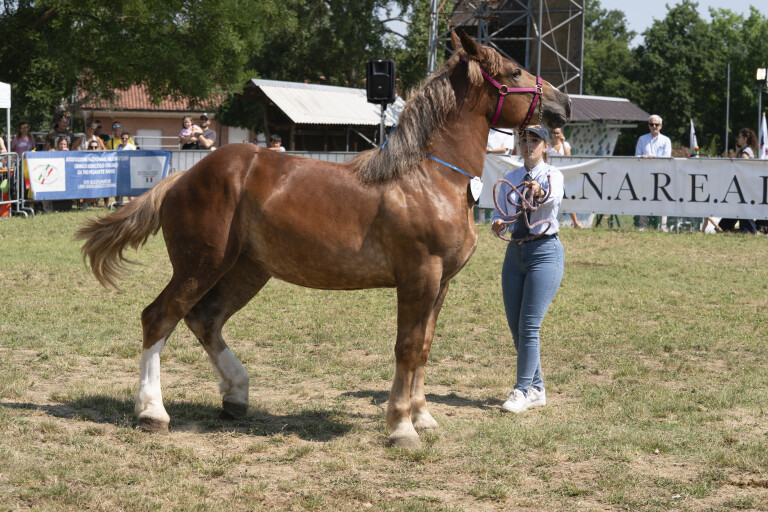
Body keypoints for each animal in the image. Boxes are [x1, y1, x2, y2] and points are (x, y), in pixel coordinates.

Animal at [75, 31, 570, 449]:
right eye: (513, 72)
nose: (563, 104)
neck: (430, 176)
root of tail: (183, 176)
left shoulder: (441, 283)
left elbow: (425, 346)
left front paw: (423, 417)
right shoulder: (419, 277)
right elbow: (408, 347)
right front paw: (401, 427)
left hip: (247, 270)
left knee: (205, 319)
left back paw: (236, 395)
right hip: (200, 265)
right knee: (159, 317)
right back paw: (152, 412)